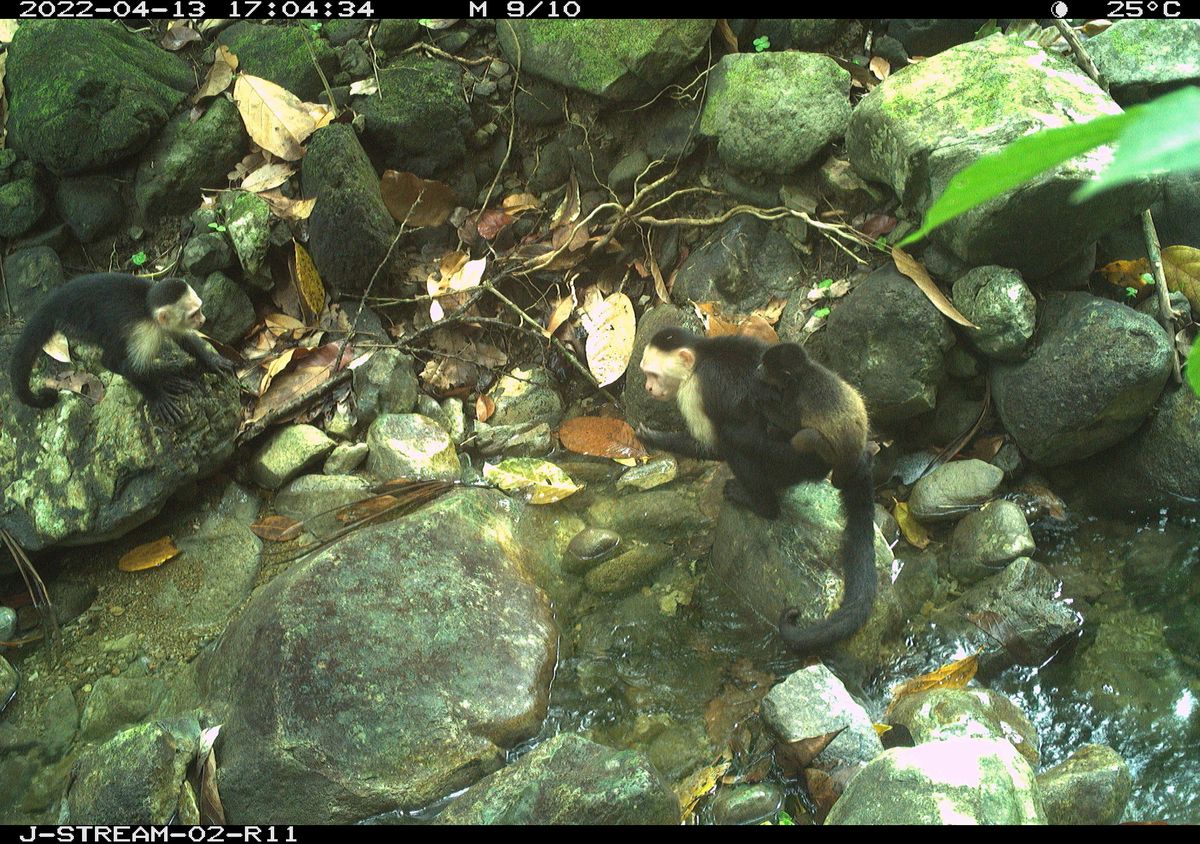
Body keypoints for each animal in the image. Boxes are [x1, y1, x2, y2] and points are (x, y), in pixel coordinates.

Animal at [8, 273, 235, 425]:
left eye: (200, 309)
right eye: (194, 314)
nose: (203, 319)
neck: (149, 311)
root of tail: (53, 301)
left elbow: (186, 339)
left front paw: (212, 360)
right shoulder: (145, 332)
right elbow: (131, 368)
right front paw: (158, 396)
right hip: (78, 324)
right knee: (111, 356)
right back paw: (162, 379)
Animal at [751, 342, 869, 490]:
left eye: (766, 368)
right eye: (762, 363)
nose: (758, 369)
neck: (803, 373)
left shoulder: (795, 392)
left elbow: (792, 423)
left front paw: (762, 404)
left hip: (830, 454)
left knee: (806, 436)